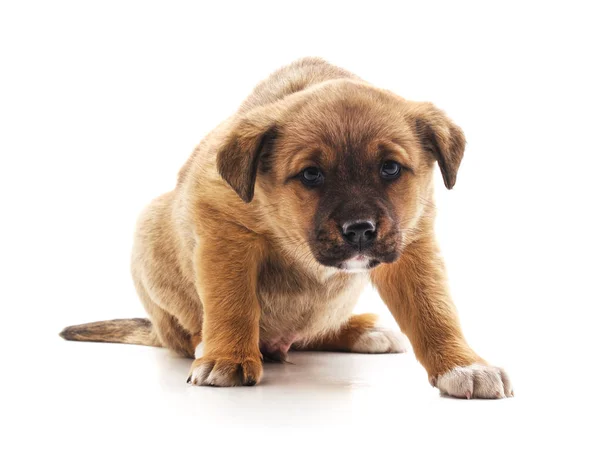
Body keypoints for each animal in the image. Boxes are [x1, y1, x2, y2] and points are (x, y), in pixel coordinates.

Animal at [59, 57, 510, 398]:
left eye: (390, 169)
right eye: (311, 174)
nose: (360, 231)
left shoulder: (412, 241)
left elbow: (434, 309)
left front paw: (463, 365)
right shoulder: (224, 231)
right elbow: (232, 301)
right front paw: (227, 357)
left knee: (314, 331)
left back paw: (363, 330)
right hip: (149, 234)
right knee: (187, 335)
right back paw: (209, 344)